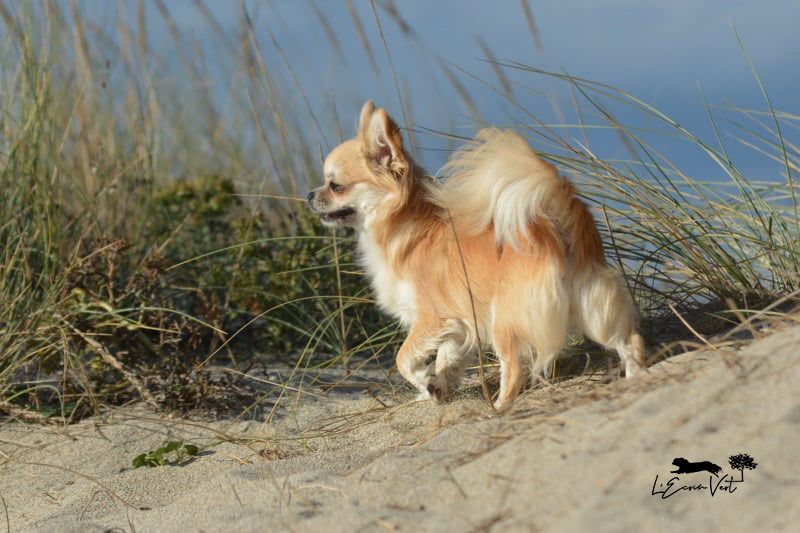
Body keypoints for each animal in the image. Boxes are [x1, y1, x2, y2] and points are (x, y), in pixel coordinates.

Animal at [310, 103, 648, 412]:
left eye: (336, 186)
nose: (311, 195)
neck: (403, 222)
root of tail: (556, 222)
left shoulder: (432, 317)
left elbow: (403, 359)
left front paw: (425, 381)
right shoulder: (456, 323)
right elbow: (446, 360)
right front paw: (436, 389)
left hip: (505, 319)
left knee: (514, 369)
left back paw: (499, 407)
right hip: (592, 303)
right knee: (629, 339)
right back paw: (636, 377)